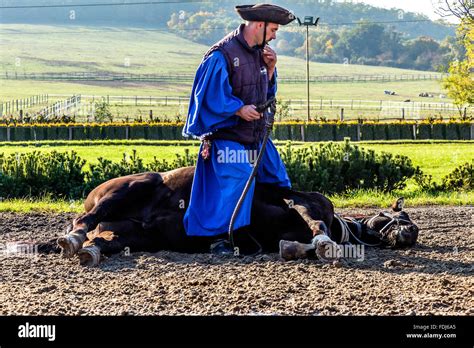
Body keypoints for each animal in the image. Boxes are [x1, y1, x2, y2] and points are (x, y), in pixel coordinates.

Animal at [34, 167, 418, 266]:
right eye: (399, 215)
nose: (411, 233)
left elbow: (294, 244)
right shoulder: (299, 201)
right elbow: (316, 225)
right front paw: (324, 243)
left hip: (131, 236)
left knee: (101, 241)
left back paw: (89, 250)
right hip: (128, 189)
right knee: (82, 223)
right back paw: (72, 238)